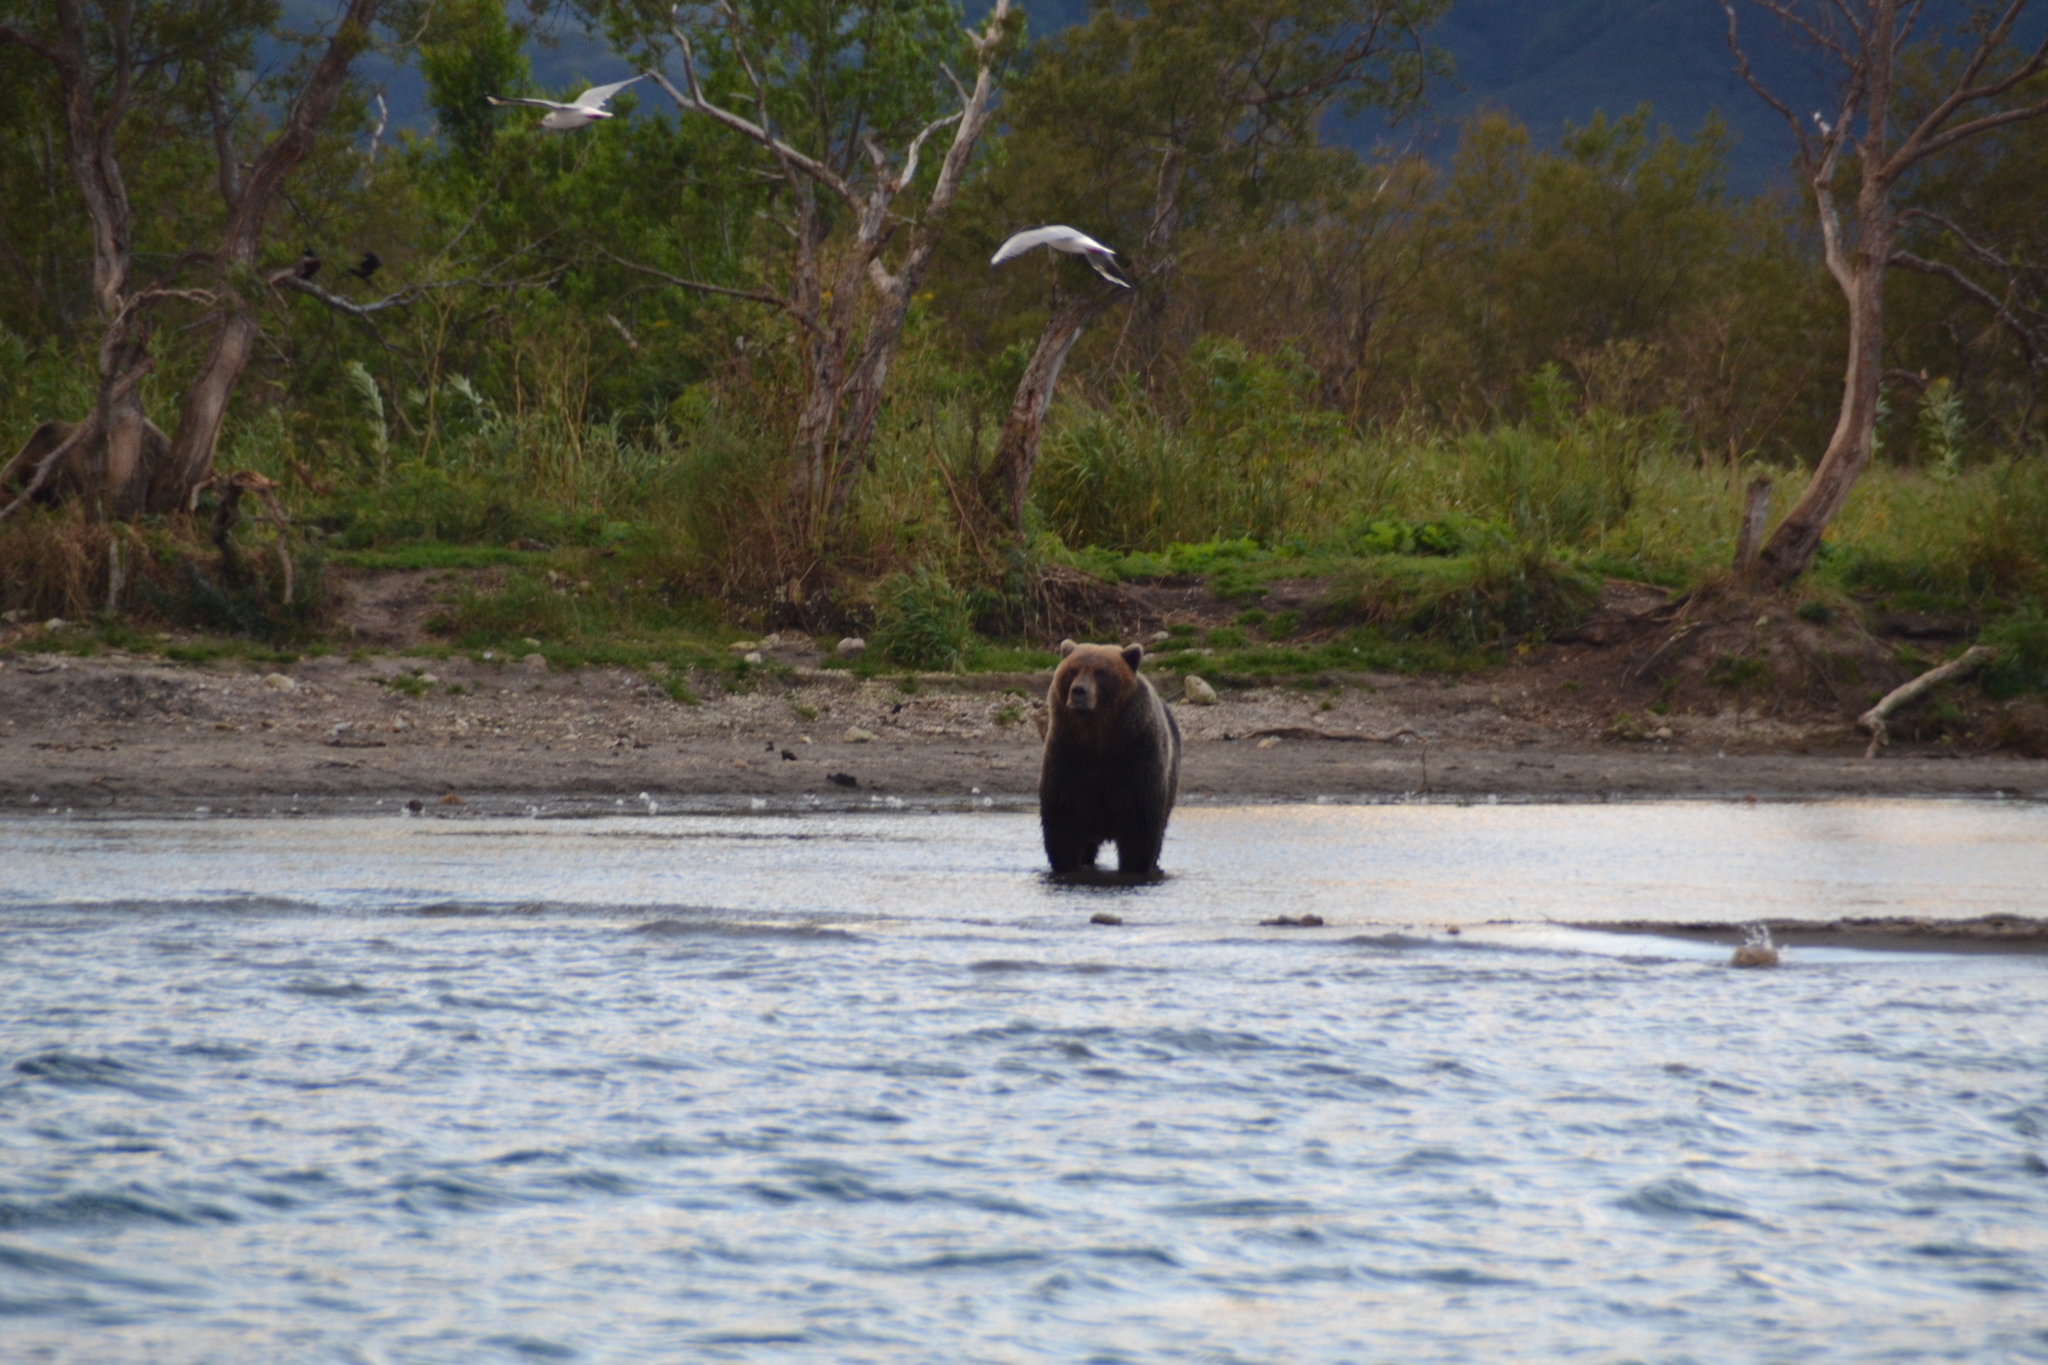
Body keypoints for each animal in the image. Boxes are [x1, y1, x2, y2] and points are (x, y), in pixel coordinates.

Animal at [1040, 638, 1187, 875]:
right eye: (1073, 670)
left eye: (1101, 672)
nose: (1079, 691)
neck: (1100, 740)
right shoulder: (1068, 754)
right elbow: (1064, 818)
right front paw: (1066, 864)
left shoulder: (1136, 755)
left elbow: (1139, 822)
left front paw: (1135, 866)